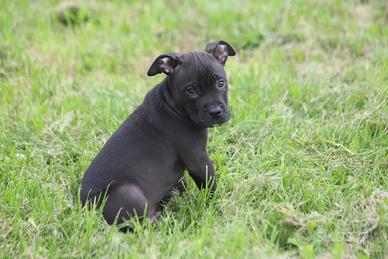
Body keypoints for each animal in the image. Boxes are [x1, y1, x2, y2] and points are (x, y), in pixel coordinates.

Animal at [80, 40, 235, 230]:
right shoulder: (197, 158)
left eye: (220, 83)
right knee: (139, 225)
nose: (215, 112)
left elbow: (180, 183)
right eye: (191, 90)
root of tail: (85, 210)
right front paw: (217, 207)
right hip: (128, 192)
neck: (174, 105)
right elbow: (210, 186)